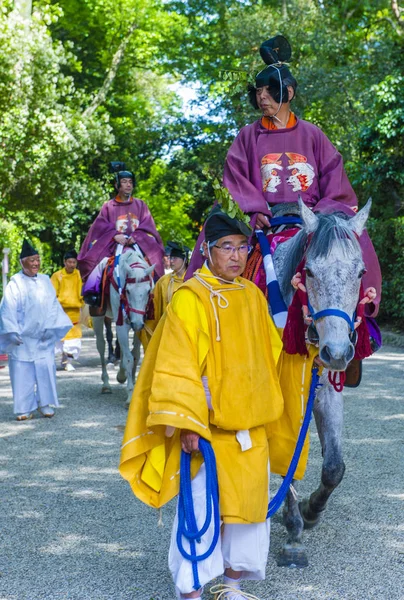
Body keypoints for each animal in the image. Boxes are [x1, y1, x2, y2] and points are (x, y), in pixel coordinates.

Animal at [92, 246, 155, 406]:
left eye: (148, 291)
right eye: (127, 291)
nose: (136, 323)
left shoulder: (139, 324)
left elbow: (135, 355)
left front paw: (128, 378)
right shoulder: (123, 323)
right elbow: (128, 358)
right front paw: (130, 395)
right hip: (98, 315)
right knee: (101, 345)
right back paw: (106, 384)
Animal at [274, 200, 370, 568]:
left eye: (360, 273)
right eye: (311, 272)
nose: (338, 351)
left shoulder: (327, 385)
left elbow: (333, 467)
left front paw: (310, 510)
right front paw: (293, 530)